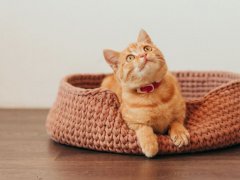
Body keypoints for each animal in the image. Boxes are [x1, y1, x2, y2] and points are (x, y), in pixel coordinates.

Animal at [101, 29, 189, 158]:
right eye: (130, 58)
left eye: (147, 48)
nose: (143, 55)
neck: (151, 90)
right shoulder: (131, 121)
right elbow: (143, 128)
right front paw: (149, 144)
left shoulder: (180, 110)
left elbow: (176, 121)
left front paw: (180, 132)